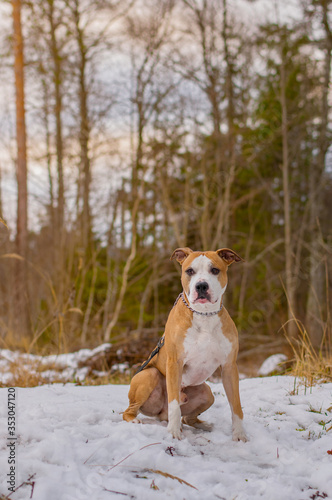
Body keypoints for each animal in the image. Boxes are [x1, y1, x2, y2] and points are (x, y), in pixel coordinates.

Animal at [123, 247, 248, 442]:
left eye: (215, 270)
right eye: (190, 271)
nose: (201, 286)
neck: (204, 315)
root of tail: (161, 415)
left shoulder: (229, 367)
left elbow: (236, 405)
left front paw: (239, 434)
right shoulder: (175, 362)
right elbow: (174, 404)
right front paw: (174, 433)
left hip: (207, 393)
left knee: (188, 417)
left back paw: (203, 425)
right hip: (148, 375)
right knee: (129, 410)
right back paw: (135, 420)